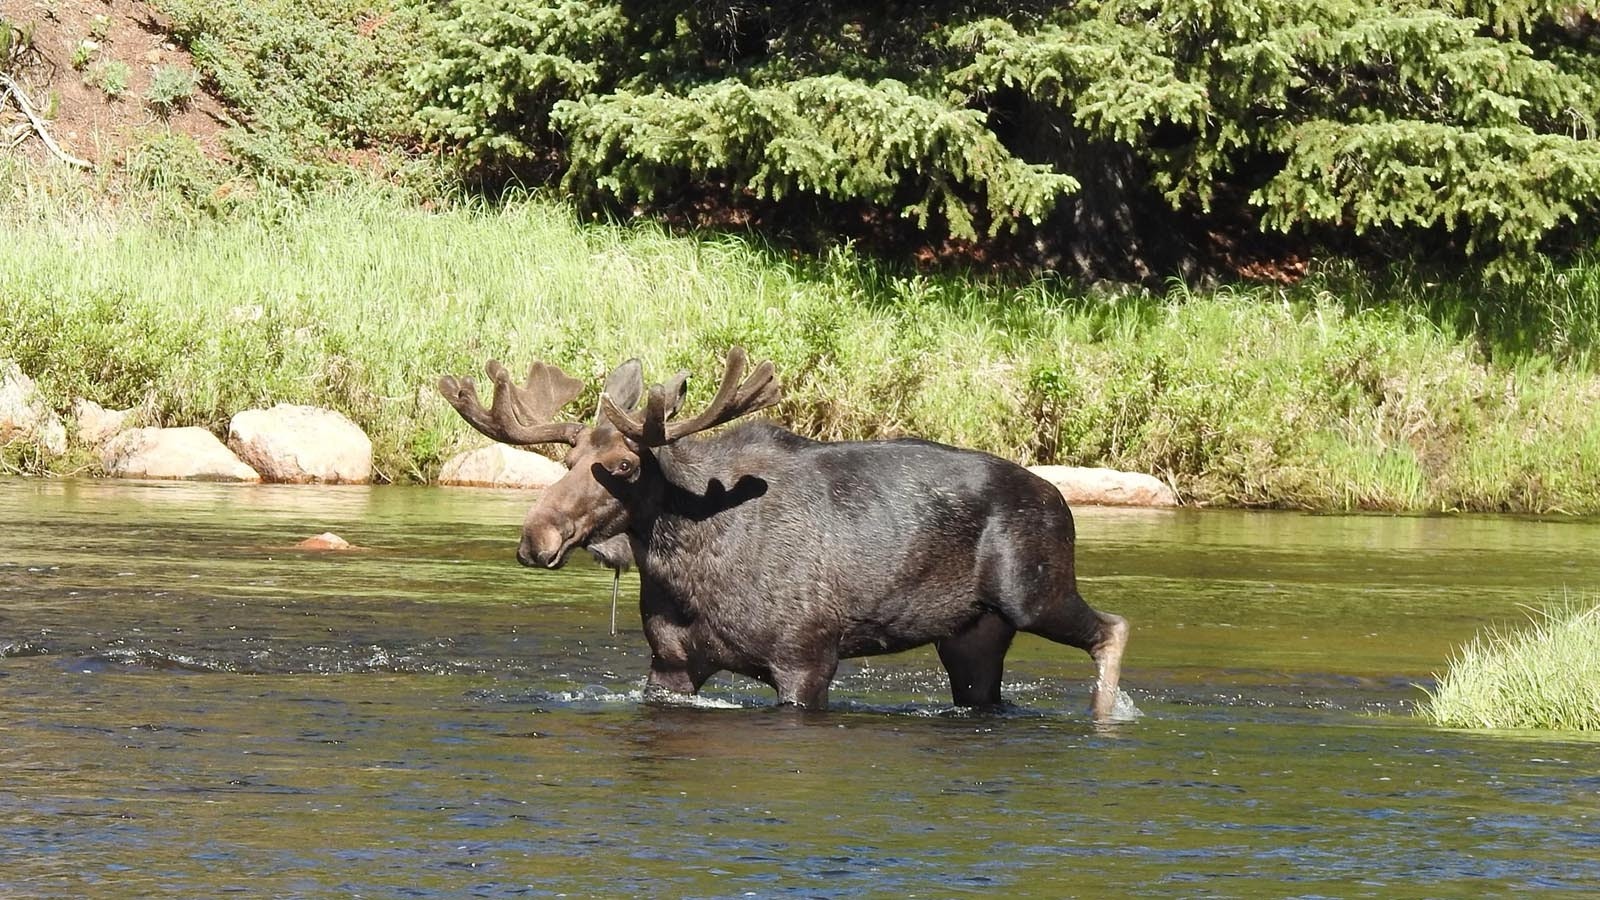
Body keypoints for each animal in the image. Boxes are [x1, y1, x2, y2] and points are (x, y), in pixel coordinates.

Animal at [444, 347, 1132, 717]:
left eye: (622, 466)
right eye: (567, 459)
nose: (535, 538)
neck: (688, 568)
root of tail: (1059, 500)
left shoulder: (807, 658)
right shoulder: (670, 664)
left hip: (1033, 591)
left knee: (1113, 628)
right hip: (971, 636)